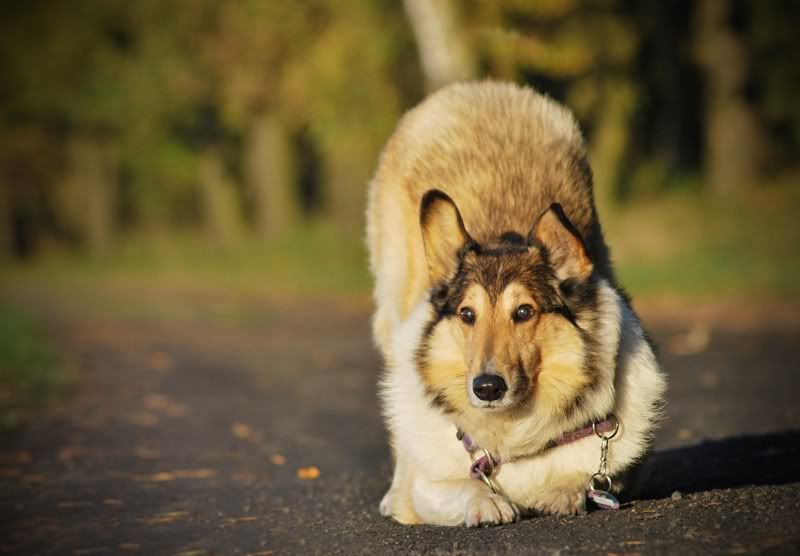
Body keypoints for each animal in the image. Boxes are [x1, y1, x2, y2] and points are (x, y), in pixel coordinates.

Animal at [366, 79, 664, 524]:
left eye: (524, 312)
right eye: (466, 314)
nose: (487, 388)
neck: (514, 436)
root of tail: (479, 88)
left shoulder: (618, 474)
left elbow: (586, 479)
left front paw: (563, 492)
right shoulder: (431, 486)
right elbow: (456, 485)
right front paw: (486, 500)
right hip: (393, 304)